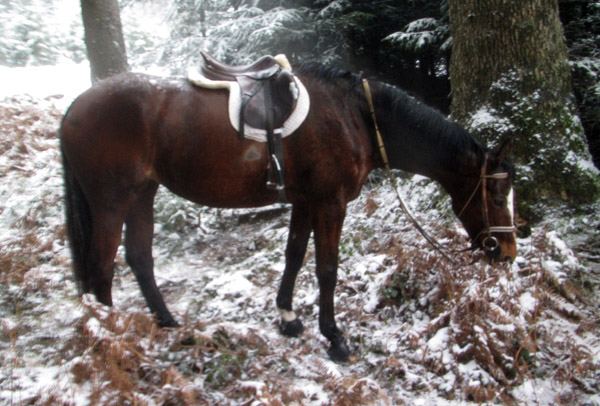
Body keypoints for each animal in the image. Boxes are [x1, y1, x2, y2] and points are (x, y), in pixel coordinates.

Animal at [61, 62, 516, 362]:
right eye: (497, 195)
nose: (507, 252)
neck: (356, 116)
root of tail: (75, 107)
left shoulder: (305, 202)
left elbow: (294, 256)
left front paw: (288, 318)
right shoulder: (330, 203)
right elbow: (327, 269)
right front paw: (334, 338)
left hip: (143, 194)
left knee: (139, 258)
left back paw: (169, 323)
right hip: (111, 202)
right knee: (102, 267)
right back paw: (114, 340)